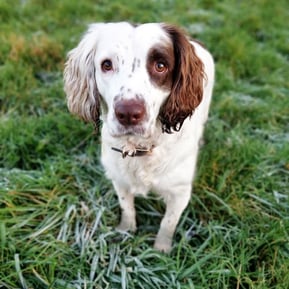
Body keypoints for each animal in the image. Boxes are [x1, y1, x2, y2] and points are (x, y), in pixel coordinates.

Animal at [63, 21, 214, 251]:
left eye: (160, 65)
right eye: (106, 65)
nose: (128, 113)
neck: (139, 148)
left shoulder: (180, 192)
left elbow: (168, 223)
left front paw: (161, 249)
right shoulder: (119, 179)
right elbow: (127, 208)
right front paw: (126, 231)